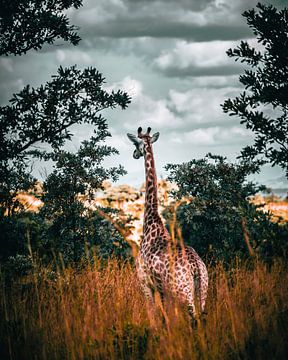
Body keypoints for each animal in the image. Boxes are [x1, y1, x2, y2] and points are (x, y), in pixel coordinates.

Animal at [127, 127, 208, 318]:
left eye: (136, 144)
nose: (134, 154)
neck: (151, 222)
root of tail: (196, 267)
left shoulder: (145, 284)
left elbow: (154, 315)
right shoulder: (161, 290)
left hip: (182, 293)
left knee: (193, 318)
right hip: (202, 291)